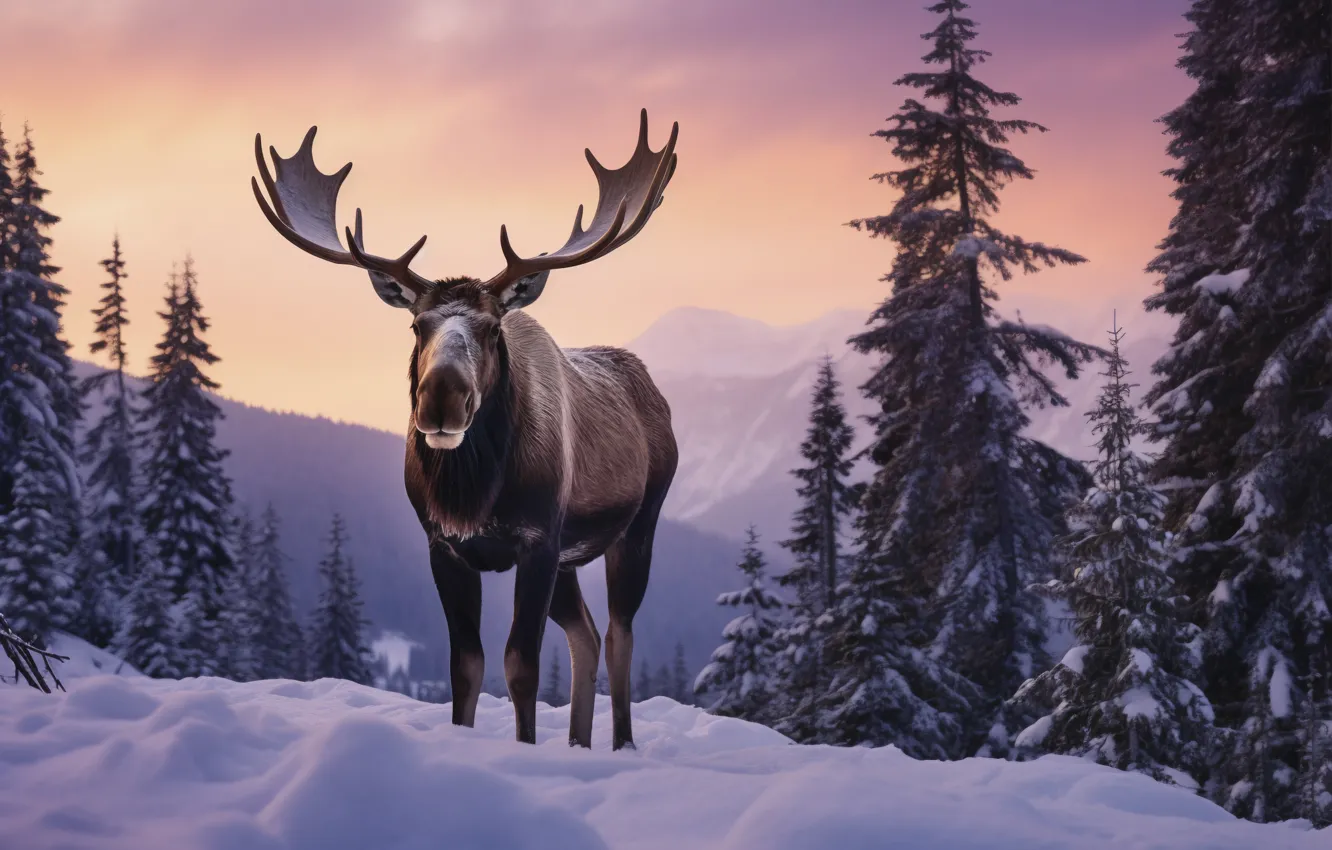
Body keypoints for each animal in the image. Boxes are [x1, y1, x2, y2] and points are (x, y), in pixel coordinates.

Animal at [251, 111, 679, 751]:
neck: (475, 494)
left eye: (492, 327)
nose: (440, 399)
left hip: (637, 525)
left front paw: (525, 746)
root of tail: (655, 393)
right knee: (585, 632)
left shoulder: (537, 539)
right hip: (571, 557)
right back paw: (578, 744)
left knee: (620, 633)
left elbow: (520, 665)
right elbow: (466, 668)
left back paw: (621, 744)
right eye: (416, 325)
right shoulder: (445, 547)